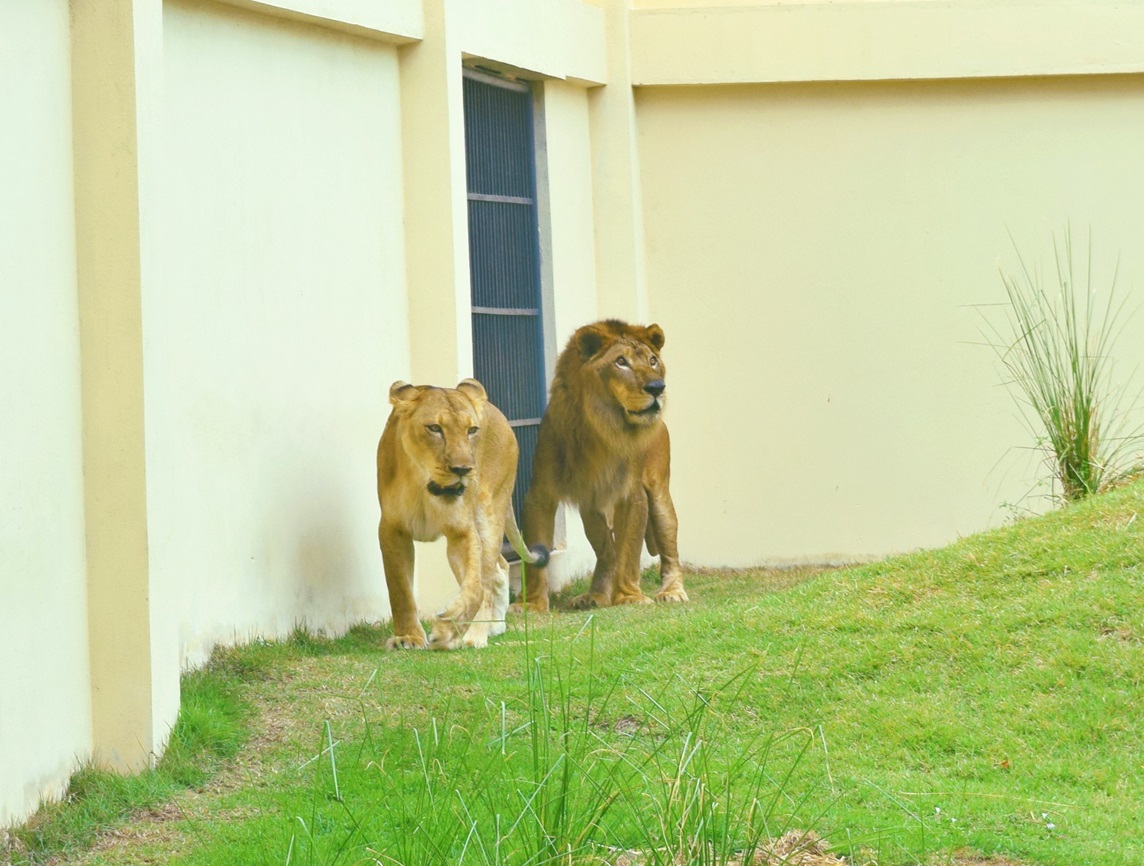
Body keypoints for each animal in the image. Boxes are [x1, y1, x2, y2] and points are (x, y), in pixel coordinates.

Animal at [377, 377, 546, 649]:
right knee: (500, 567)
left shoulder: (463, 532)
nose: (463, 469)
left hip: (490, 513)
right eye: (435, 428)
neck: (424, 487)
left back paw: (476, 634)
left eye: (472, 430)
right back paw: (493, 626)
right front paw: (408, 638)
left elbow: (475, 588)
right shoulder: (392, 530)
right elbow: (399, 589)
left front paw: (447, 629)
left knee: (489, 575)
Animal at [519, 320, 686, 613]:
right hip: (591, 508)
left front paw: (630, 596)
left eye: (653, 361)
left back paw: (672, 591)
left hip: (659, 495)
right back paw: (594, 595)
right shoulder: (540, 493)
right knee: (607, 552)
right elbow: (535, 550)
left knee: (669, 549)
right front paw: (532, 604)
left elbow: (629, 551)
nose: (657, 387)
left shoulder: (632, 495)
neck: (600, 429)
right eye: (621, 362)